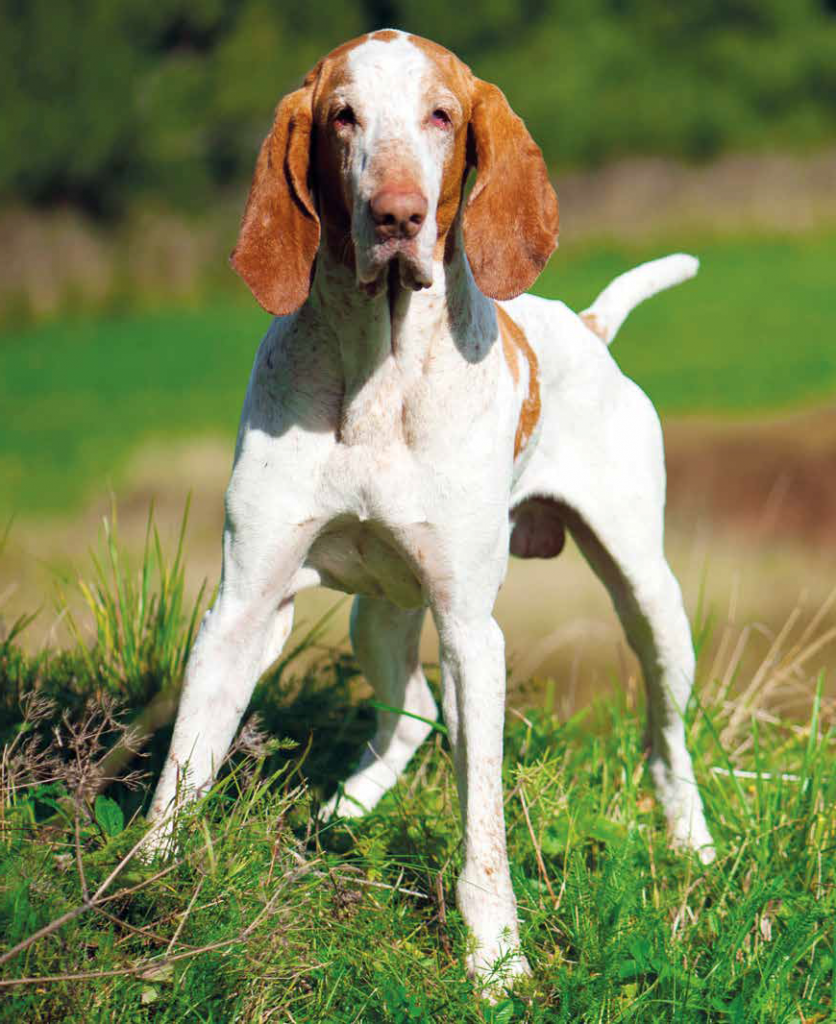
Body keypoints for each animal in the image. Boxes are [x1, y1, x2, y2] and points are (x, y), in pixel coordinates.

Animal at [146, 29, 717, 983]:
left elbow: (483, 827)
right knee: (409, 709)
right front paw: (138, 891)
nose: (397, 217)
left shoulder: (469, 632)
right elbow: (181, 773)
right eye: (343, 115)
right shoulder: (240, 609)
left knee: (666, 741)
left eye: (442, 116)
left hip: (650, 600)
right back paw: (344, 808)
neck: (378, 379)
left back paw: (693, 845)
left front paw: (497, 963)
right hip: (377, 613)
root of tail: (588, 326)